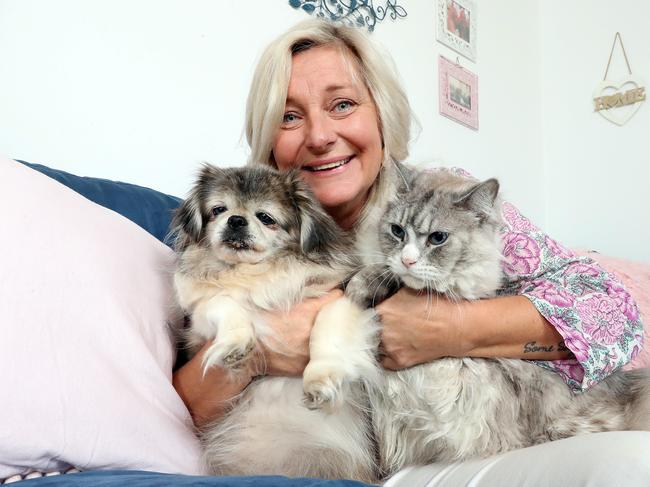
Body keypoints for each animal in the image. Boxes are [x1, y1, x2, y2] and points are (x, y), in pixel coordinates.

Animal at [170, 165, 378, 484]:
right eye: (218, 209)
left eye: (266, 217)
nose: (236, 220)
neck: (254, 273)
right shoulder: (199, 321)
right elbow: (223, 302)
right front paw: (236, 343)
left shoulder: (342, 295)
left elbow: (329, 326)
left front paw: (322, 379)